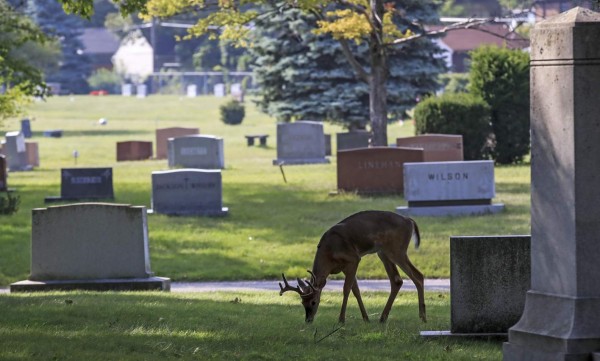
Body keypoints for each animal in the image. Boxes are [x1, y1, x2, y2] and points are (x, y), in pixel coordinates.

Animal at [278, 208, 424, 324]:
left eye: (314, 301)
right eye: (302, 302)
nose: (308, 320)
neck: (329, 253)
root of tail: (409, 220)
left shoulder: (354, 258)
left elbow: (346, 289)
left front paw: (341, 319)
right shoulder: (344, 266)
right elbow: (356, 290)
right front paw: (366, 318)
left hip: (396, 250)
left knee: (418, 275)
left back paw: (422, 317)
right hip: (383, 252)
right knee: (397, 280)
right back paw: (383, 318)